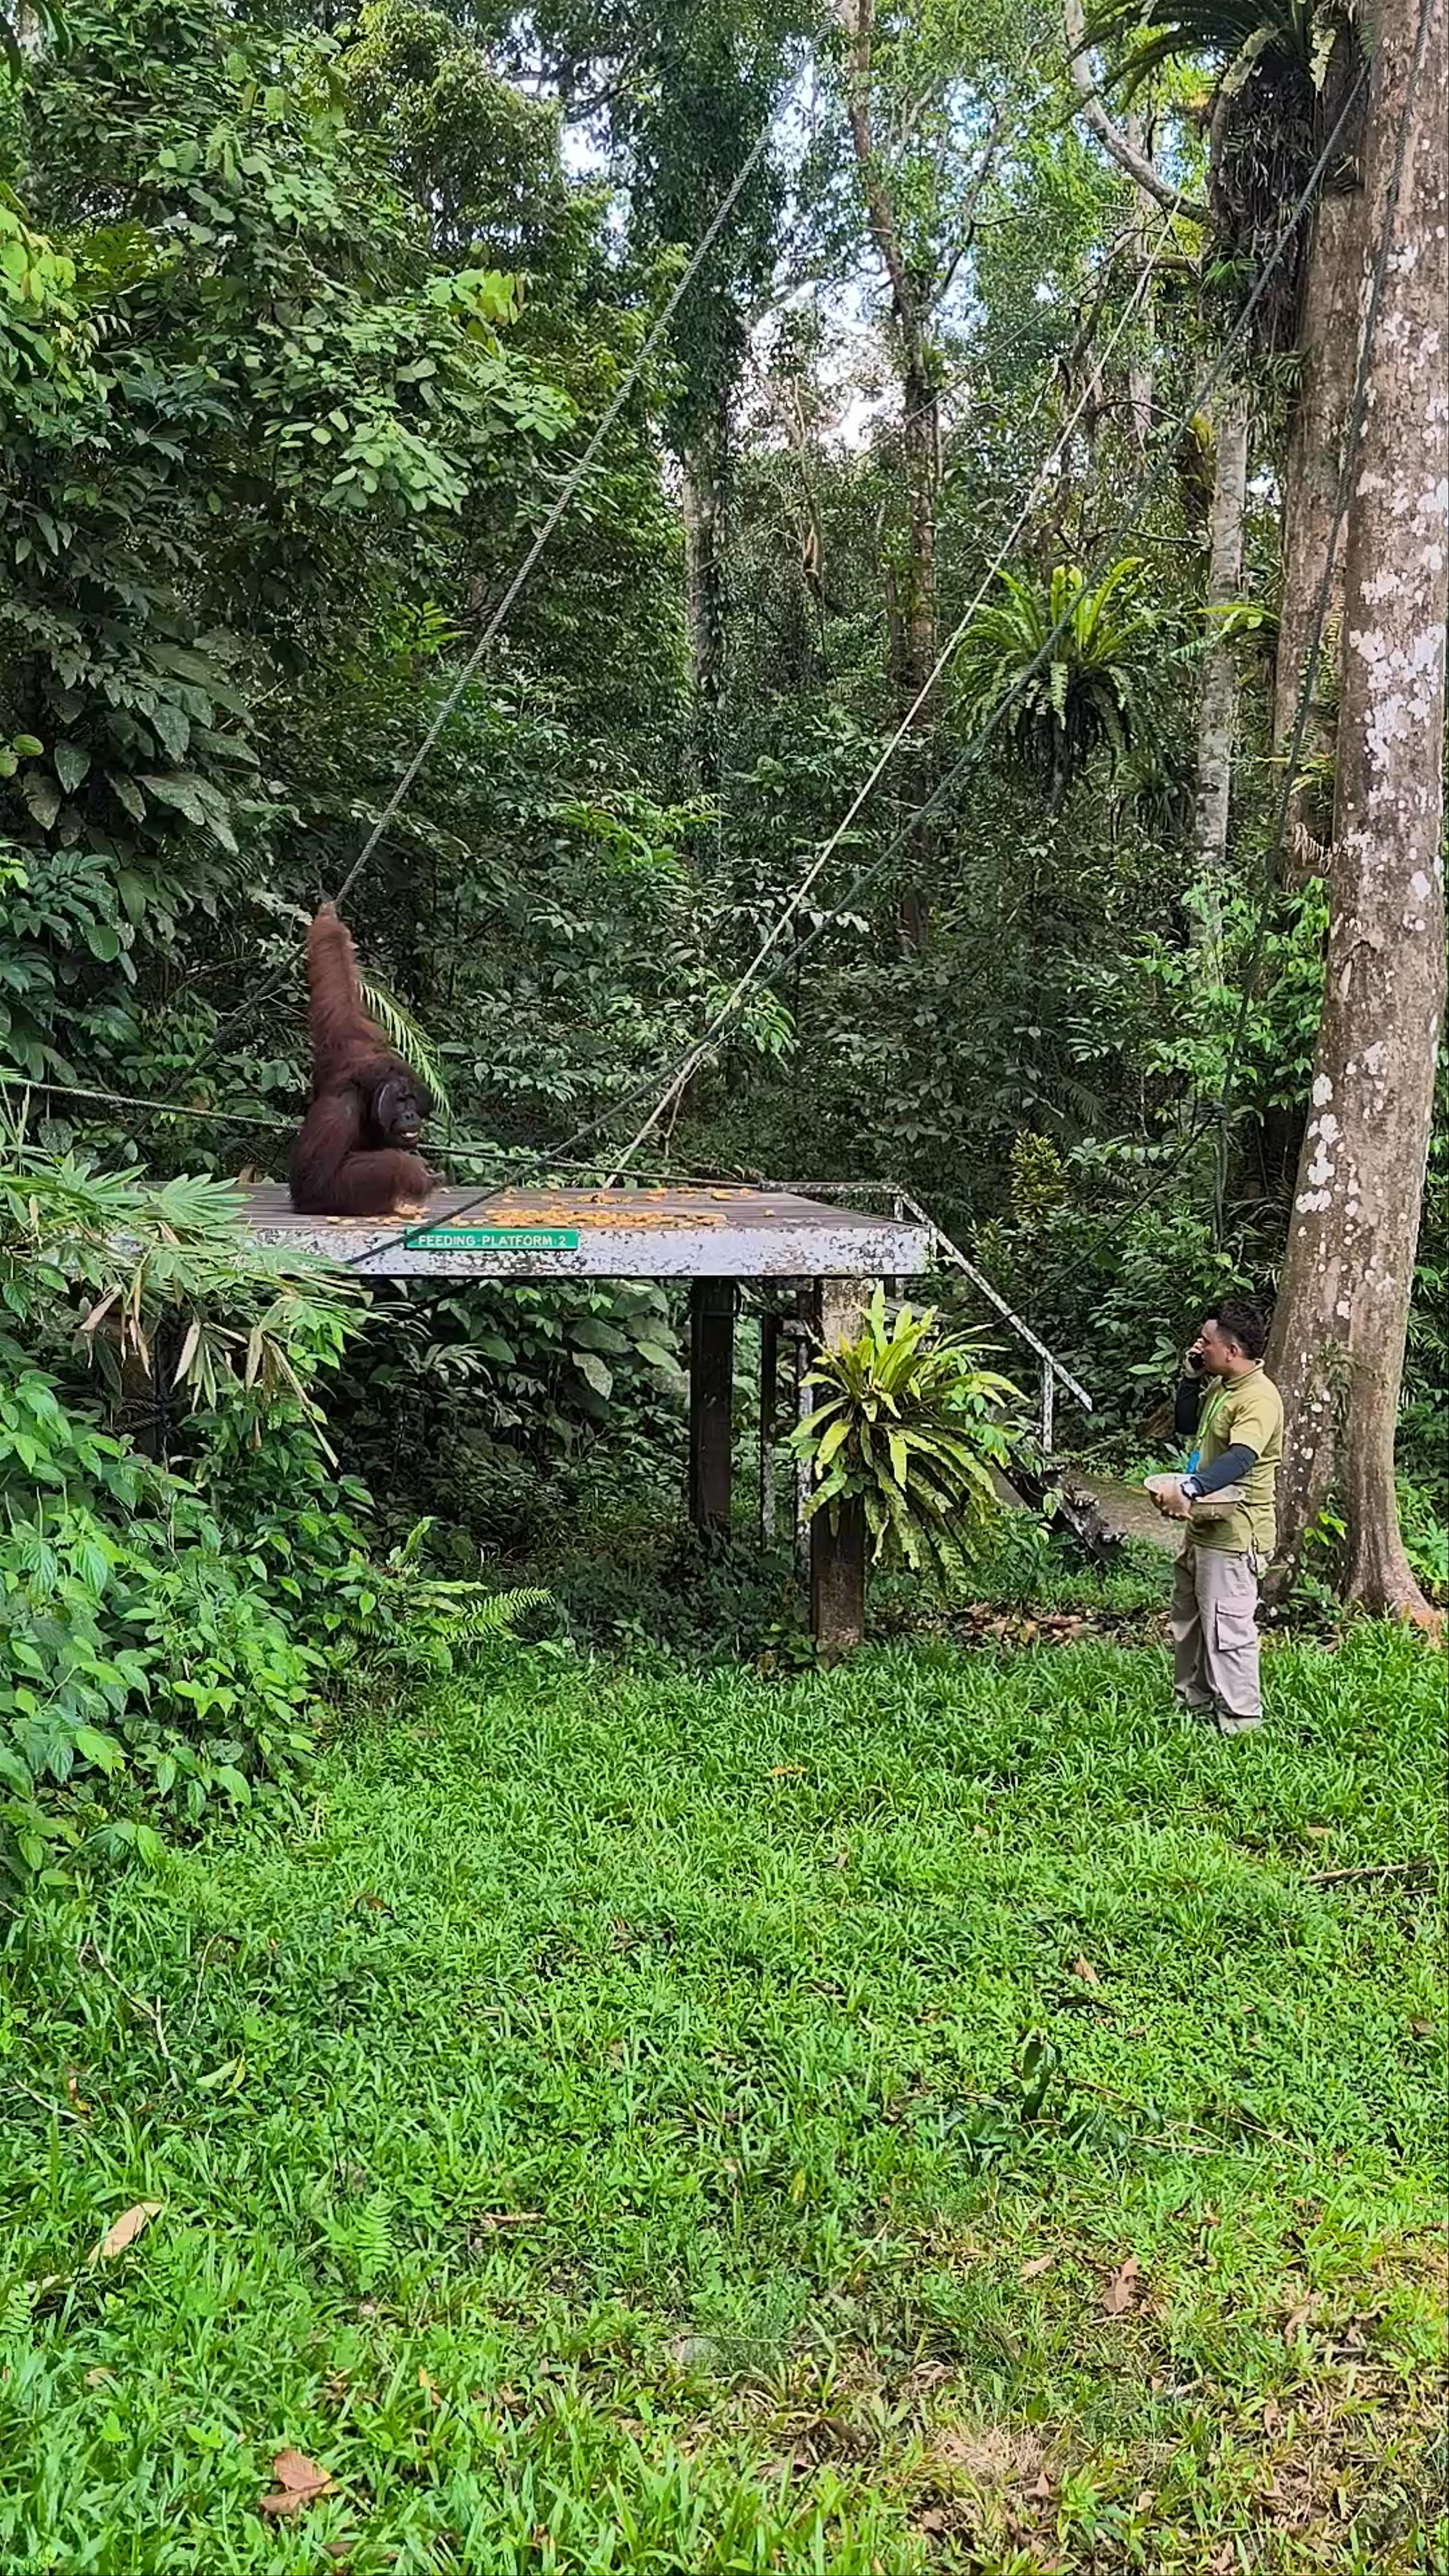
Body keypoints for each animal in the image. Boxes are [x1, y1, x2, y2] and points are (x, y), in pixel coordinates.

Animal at [288, 903, 437, 1218]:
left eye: (411, 1100)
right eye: (400, 1102)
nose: (410, 1115)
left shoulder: (350, 1041)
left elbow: (336, 987)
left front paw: (329, 920)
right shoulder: (337, 1114)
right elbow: (315, 1186)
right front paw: (414, 1171)